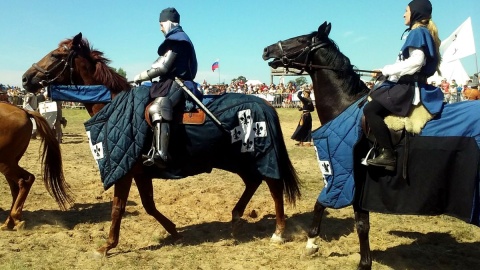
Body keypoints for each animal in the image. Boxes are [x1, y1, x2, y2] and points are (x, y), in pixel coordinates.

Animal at [0, 101, 72, 230]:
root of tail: (24, 111)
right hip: (10, 163)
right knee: (17, 186)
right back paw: (10, 221)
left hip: (5, 162)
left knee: (25, 180)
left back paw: (15, 218)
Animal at [22, 32, 302, 256]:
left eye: (56, 55)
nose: (25, 79)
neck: (113, 104)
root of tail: (265, 104)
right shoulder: (139, 171)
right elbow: (148, 205)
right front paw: (174, 231)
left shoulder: (124, 171)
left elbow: (117, 208)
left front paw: (107, 246)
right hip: (236, 159)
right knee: (253, 181)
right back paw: (235, 219)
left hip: (259, 154)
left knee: (274, 185)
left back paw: (278, 231)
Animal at [262, 22, 480, 268]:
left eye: (300, 40)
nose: (267, 50)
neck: (345, 106)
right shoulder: (351, 181)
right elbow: (335, 210)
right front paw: (313, 244)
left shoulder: (349, 177)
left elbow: (350, 218)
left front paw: (359, 261)